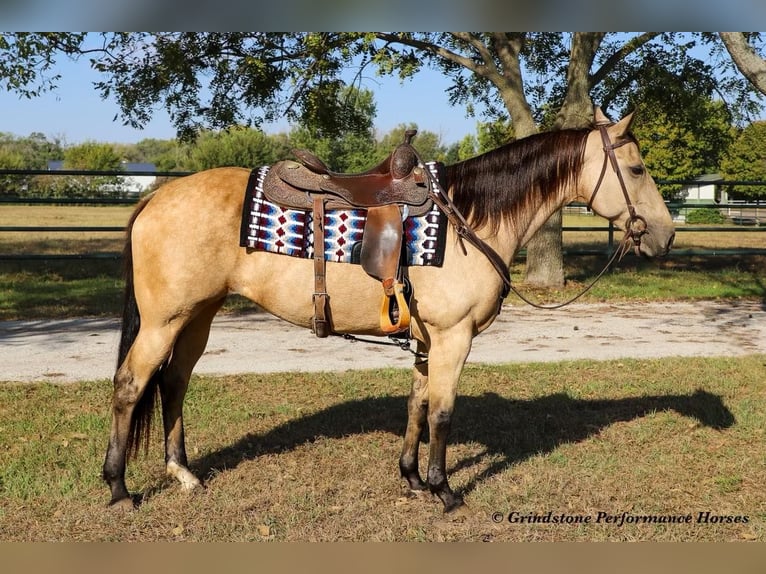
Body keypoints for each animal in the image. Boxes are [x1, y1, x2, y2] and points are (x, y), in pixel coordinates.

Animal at [103, 108, 680, 512]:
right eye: (636, 167)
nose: (666, 235)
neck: (470, 218)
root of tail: (155, 198)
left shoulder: (429, 340)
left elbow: (417, 405)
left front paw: (412, 478)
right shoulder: (453, 337)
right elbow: (443, 412)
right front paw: (445, 491)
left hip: (197, 316)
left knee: (174, 382)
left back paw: (183, 474)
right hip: (163, 322)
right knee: (132, 385)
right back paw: (119, 488)